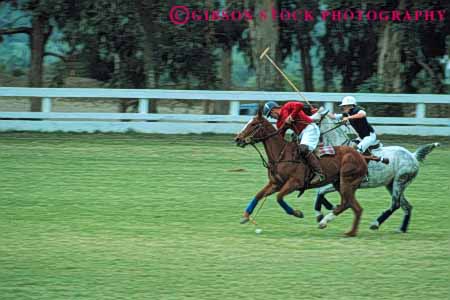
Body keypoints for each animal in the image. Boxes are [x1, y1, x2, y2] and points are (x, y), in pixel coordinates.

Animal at [236, 110, 372, 237]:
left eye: (253, 124)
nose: (237, 139)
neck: (281, 155)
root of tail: (361, 155)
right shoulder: (275, 183)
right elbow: (258, 195)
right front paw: (245, 216)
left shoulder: (294, 183)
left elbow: (279, 197)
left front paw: (297, 213)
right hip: (339, 183)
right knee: (354, 206)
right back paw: (347, 231)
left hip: (347, 182)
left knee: (348, 204)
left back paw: (326, 222)